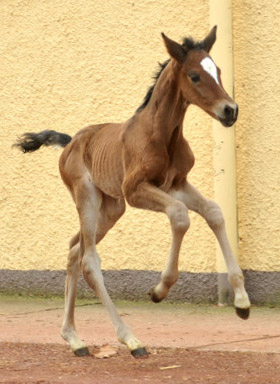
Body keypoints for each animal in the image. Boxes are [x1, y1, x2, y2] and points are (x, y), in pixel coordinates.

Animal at [14, 26, 249, 356]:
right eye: (194, 76)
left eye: (218, 71)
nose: (230, 110)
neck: (161, 135)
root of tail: (70, 141)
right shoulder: (136, 190)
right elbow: (180, 216)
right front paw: (160, 290)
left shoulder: (176, 184)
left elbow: (213, 212)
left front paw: (241, 301)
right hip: (88, 197)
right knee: (89, 260)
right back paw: (130, 339)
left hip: (112, 207)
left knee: (75, 249)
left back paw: (74, 339)